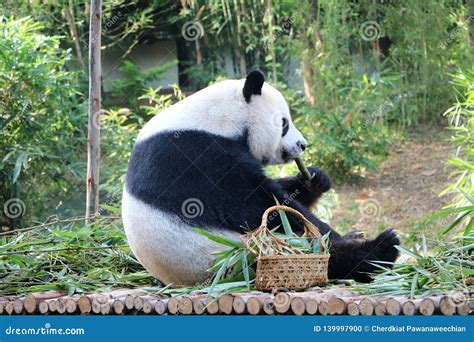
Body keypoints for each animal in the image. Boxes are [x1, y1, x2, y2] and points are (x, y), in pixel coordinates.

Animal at [123, 70, 400, 286]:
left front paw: (314, 178)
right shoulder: (195, 158)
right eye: (284, 123)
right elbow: (260, 204)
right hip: (240, 256)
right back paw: (380, 249)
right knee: (316, 254)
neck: (216, 118)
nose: (302, 145)